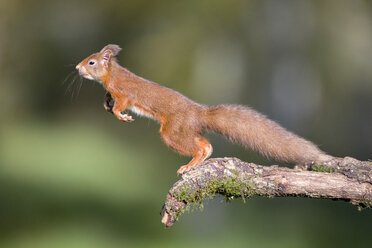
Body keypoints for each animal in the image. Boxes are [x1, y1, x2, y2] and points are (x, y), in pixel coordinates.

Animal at [77, 44, 338, 174]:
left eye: (91, 62)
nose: (78, 68)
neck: (112, 74)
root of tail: (199, 113)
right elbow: (109, 99)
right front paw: (106, 103)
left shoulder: (125, 92)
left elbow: (123, 103)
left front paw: (121, 115)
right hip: (185, 131)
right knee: (206, 145)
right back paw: (198, 161)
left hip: (172, 132)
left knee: (198, 147)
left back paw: (189, 165)